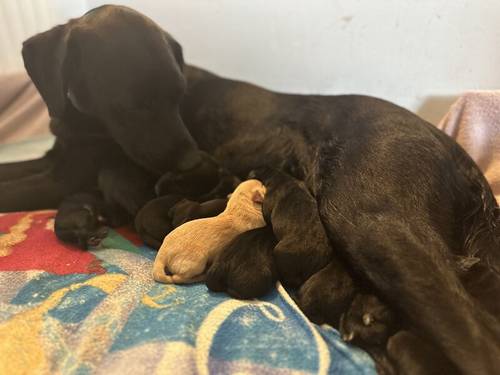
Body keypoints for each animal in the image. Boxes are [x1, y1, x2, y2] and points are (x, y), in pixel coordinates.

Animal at [0, 4, 500, 374]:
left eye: (178, 94)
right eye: (128, 105)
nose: (197, 166)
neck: (81, 117)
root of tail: (464, 162)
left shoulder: (65, 175)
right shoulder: (58, 163)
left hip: (370, 225)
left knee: (478, 344)